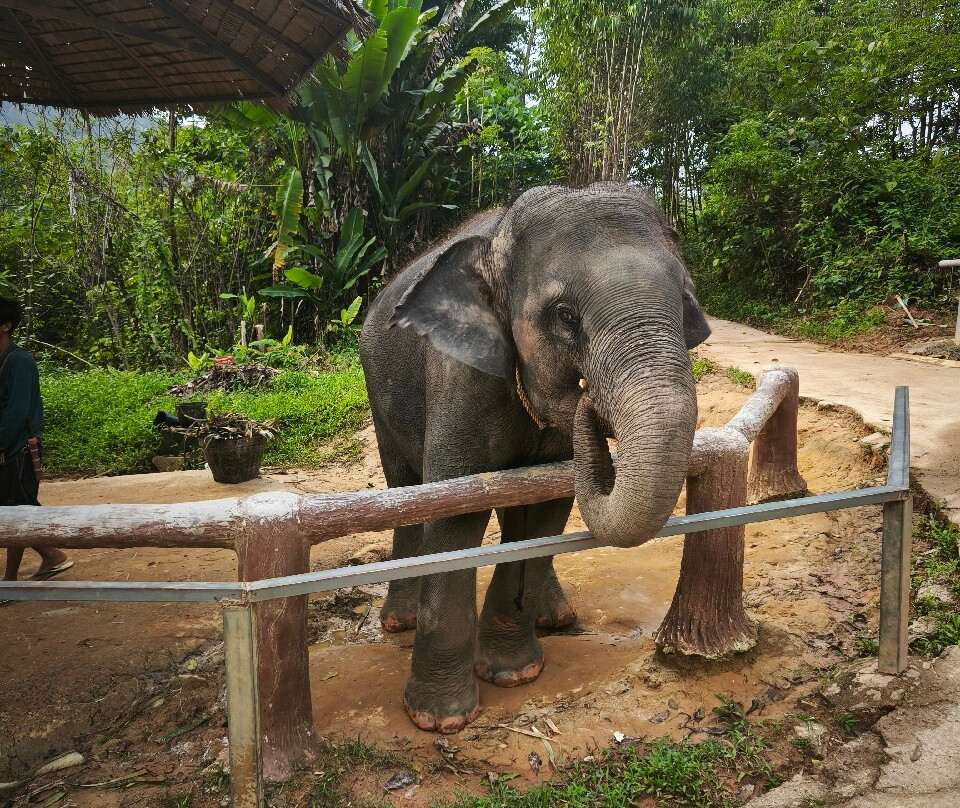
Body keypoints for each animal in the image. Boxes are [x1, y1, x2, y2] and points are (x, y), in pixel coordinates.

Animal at [359, 182, 710, 733]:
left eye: (684, 301)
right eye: (565, 315)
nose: (588, 401)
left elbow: (545, 508)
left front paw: (513, 674)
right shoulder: (460, 374)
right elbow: (455, 514)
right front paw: (439, 719)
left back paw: (555, 617)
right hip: (379, 392)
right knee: (405, 490)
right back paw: (401, 621)